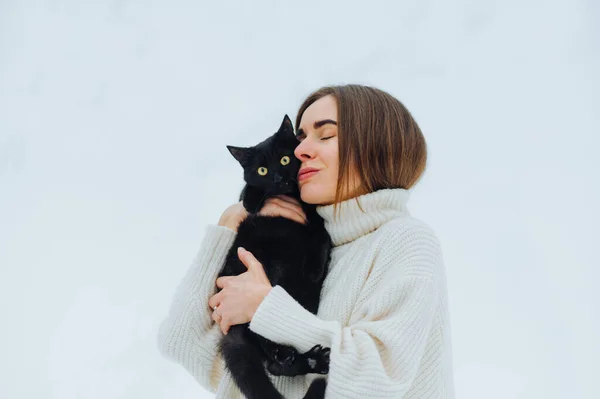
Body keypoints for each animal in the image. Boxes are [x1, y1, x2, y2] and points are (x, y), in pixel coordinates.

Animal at [217, 115, 332, 399]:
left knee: (273, 360)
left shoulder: (316, 212)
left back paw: (307, 359)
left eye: (285, 159)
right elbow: (247, 196)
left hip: (302, 293)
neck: (291, 195)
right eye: (261, 170)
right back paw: (293, 356)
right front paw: (251, 200)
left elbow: (322, 231)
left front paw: (315, 266)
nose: (280, 178)